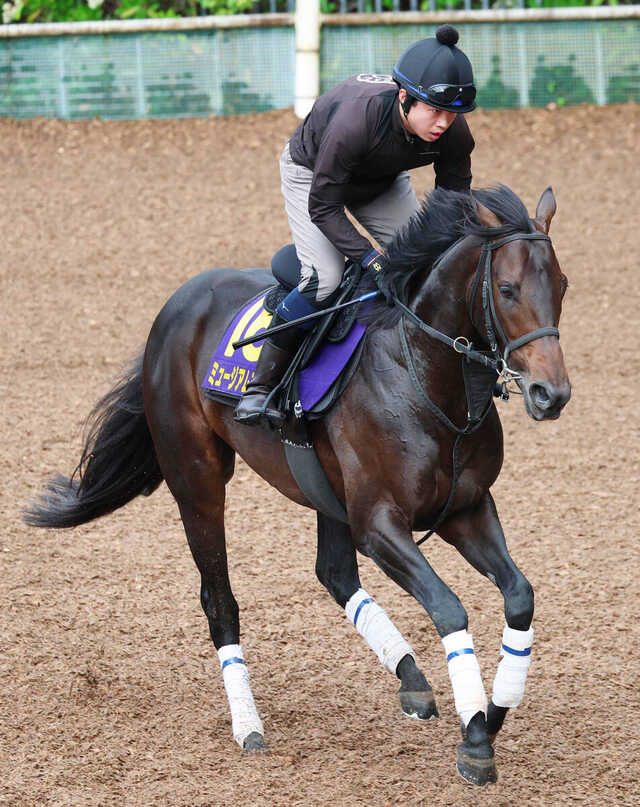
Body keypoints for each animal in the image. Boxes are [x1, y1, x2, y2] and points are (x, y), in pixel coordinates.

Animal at [25, 184, 570, 786]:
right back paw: (249, 726)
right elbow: (449, 607)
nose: (551, 394)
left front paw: (494, 712)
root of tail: (179, 300)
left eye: (562, 285)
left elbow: (519, 597)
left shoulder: (465, 509)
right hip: (197, 479)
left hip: (323, 492)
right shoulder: (379, 524)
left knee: (333, 573)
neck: (425, 380)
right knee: (220, 600)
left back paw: (410, 679)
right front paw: (474, 734)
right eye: (507, 289)